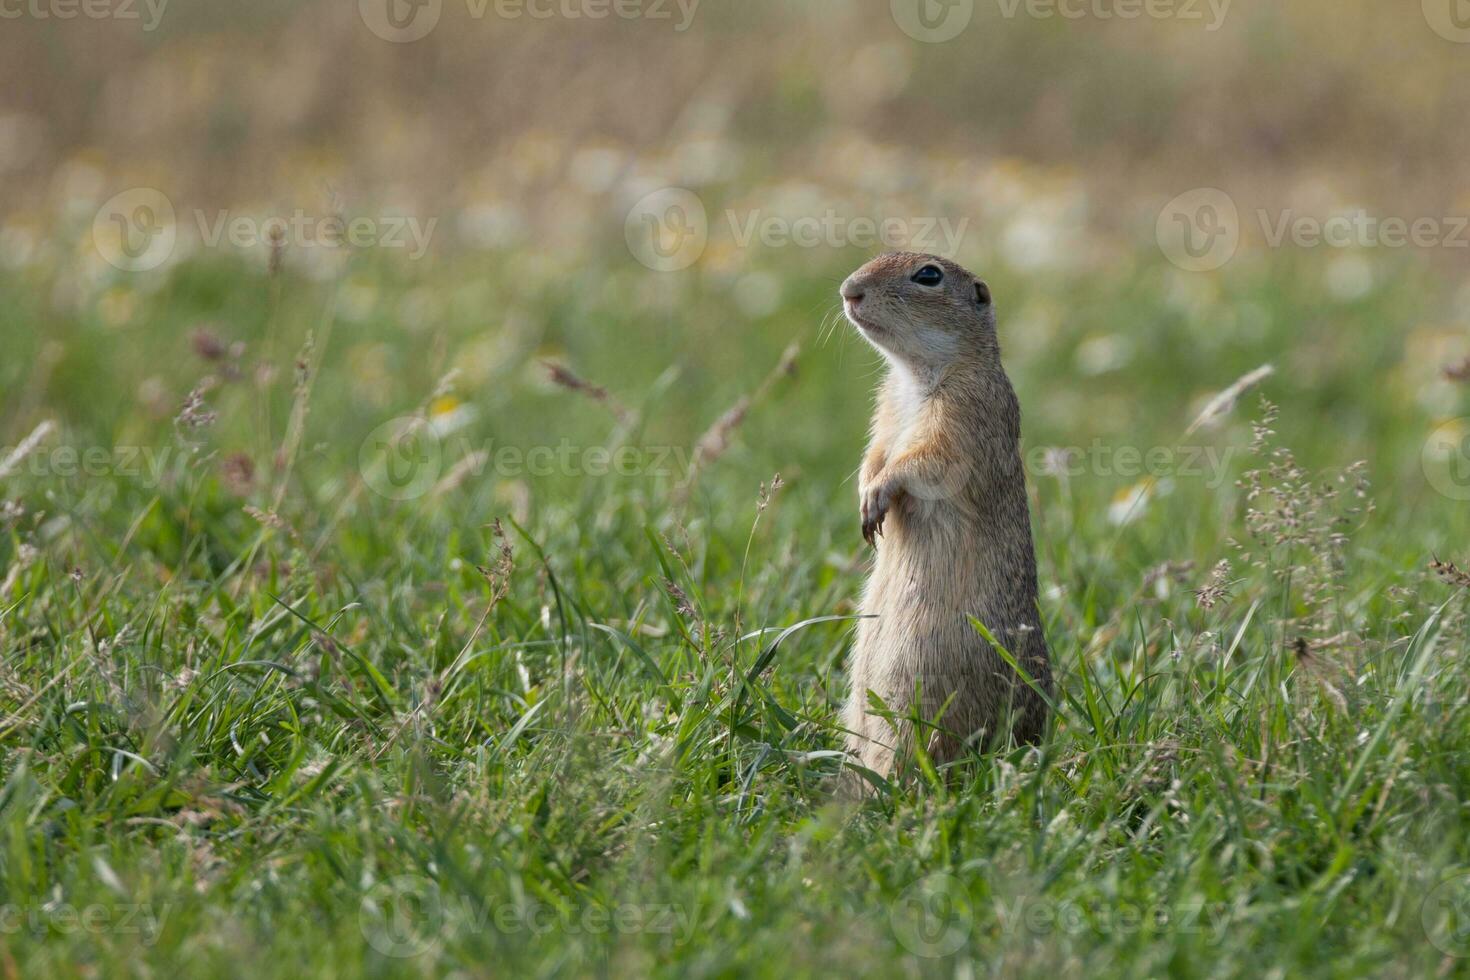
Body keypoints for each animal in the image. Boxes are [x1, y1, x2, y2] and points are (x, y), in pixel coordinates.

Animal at [834, 251, 1052, 781]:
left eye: (928, 276)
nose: (848, 290)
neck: (915, 374)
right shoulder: (886, 409)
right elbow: (875, 452)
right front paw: (864, 494)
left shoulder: (963, 414)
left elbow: (925, 462)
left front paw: (879, 494)